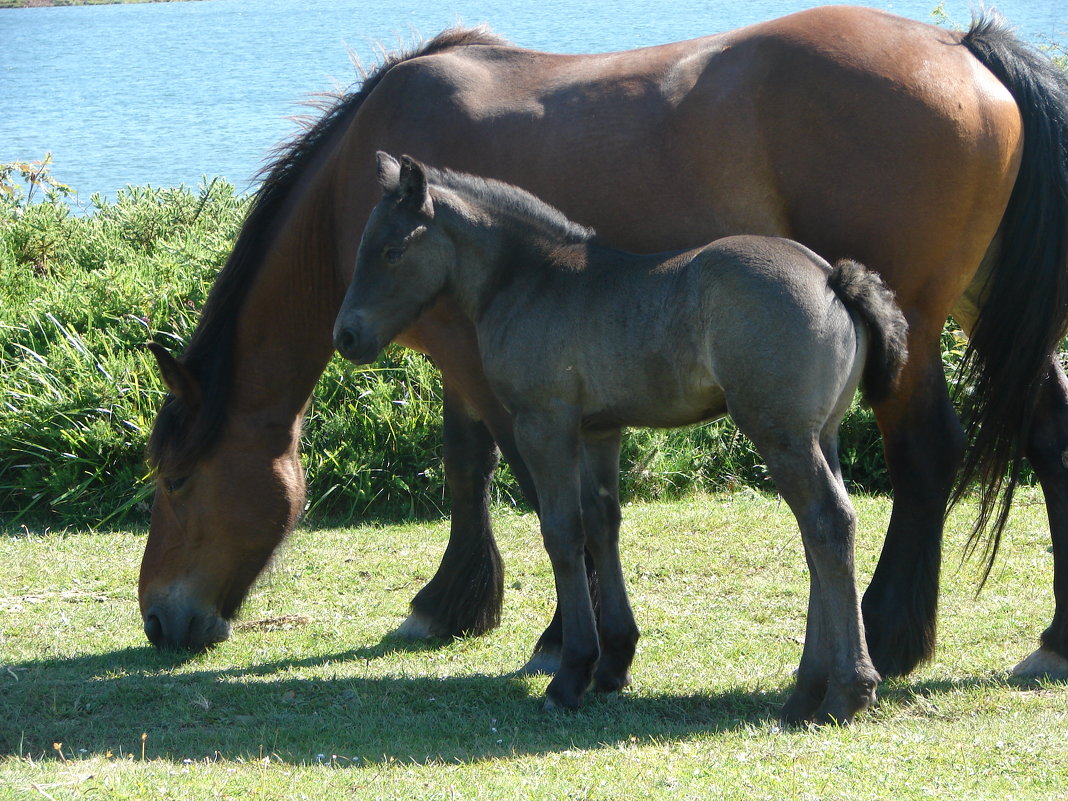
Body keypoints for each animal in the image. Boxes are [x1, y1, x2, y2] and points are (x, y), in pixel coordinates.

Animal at [142, 4, 1068, 683]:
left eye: (177, 480)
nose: (159, 618)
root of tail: (964, 48)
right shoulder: (463, 352)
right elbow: (469, 467)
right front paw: (455, 602)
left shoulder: (489, 367)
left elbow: (542, 494)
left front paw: (563, 637)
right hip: (979, 308)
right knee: (1049, 434)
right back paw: (1051, 640)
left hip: (912, 330)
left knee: (924, 454)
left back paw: (889, 632)